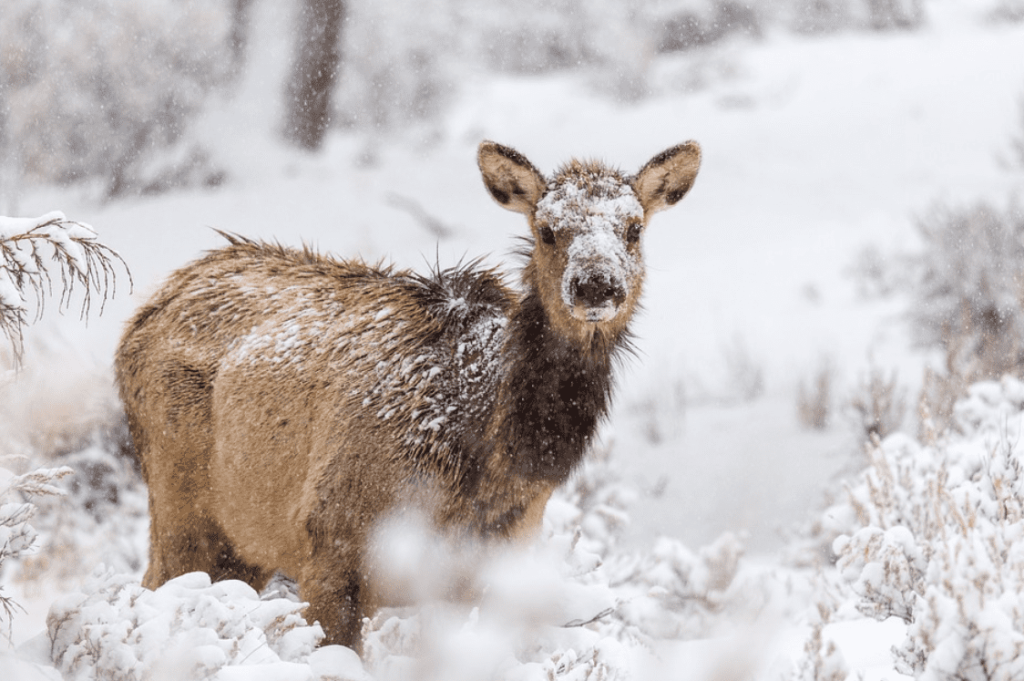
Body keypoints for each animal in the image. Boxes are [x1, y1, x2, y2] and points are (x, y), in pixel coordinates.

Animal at [114, 140, 701, 650]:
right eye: (547, 229)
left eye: (633, 229)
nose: (596, 285)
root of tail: (145, 311)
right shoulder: (330, 544)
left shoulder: (486, 574)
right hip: (180, 503)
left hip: (245, 544)